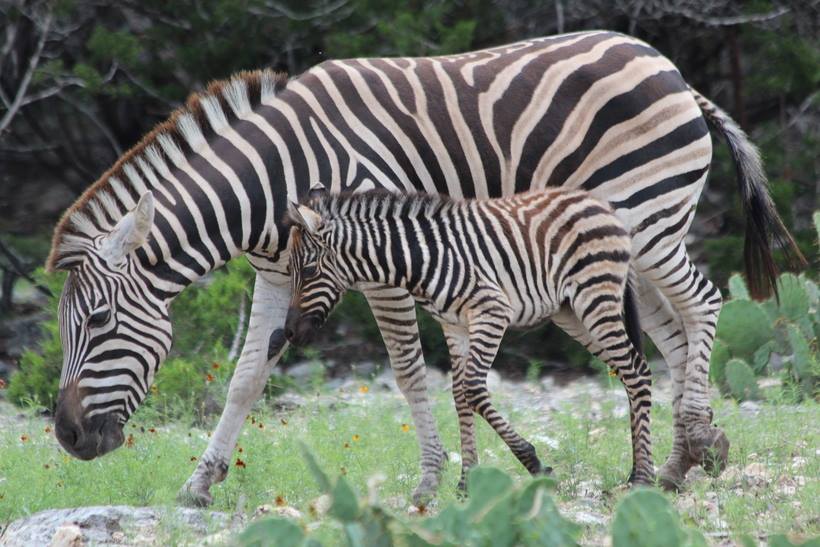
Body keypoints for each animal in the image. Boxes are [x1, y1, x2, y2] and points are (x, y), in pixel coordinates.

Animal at [286, 191, 656, 490]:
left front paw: (534, 463)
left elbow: (474, 389)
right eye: (292, 271)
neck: (422, 259)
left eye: (308, 271)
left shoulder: (492, 311)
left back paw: (643, 479)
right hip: (572, 313)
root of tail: (600, 203)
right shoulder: (455, 325)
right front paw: (466, 483)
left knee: (636, 371)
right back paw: (637, 471)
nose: (289, 333)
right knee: (630, 372)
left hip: (595, 300)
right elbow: (459, 396)